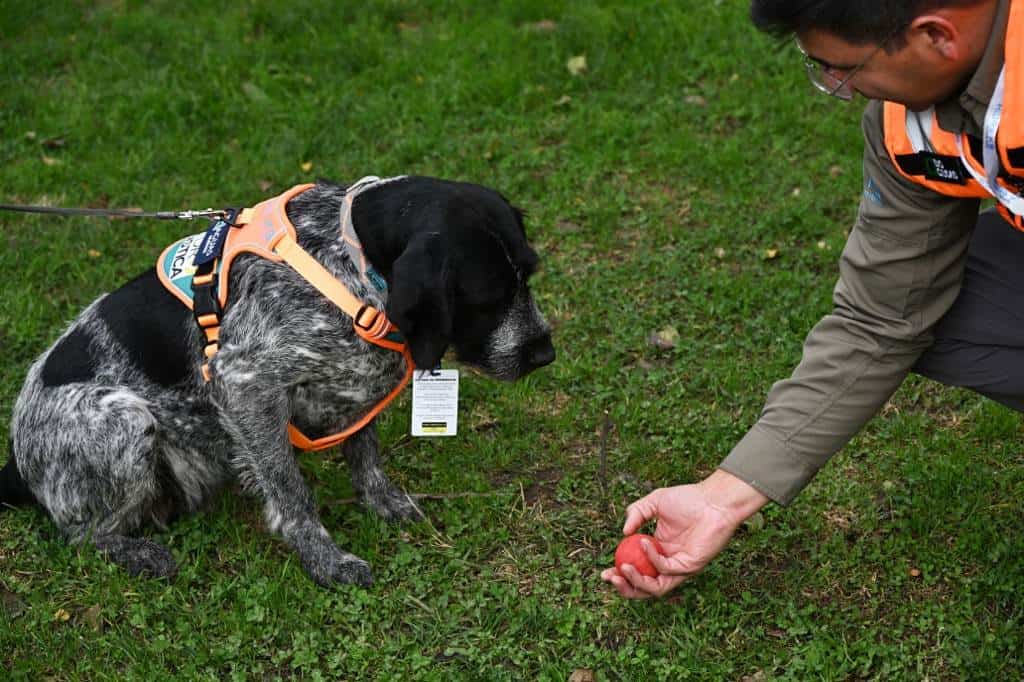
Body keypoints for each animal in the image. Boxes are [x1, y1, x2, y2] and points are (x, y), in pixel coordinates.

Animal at [0, 175, 557, 585]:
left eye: (529, 276)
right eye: (487, 299)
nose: (545, 354)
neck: (346, 256)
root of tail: (16, 463)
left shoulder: (356, 380)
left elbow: (365, 454)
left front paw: (382, 501)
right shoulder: (243, 384)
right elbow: (291, 492)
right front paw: (324, 559)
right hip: (124, 417)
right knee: (81, 534)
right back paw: (138, 553)